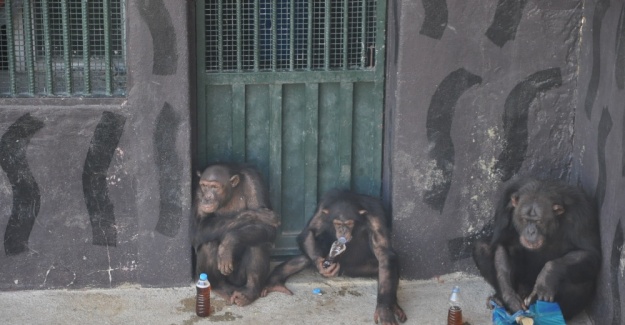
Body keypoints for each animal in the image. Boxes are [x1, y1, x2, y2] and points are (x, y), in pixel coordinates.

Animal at [190, 163, 278, 306]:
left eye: (214, 187)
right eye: (204, 186)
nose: (207, 197)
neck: (229, 194)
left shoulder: (254, 181)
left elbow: (268, 228)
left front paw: (228, 243)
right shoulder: (198, 192)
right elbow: (198, 227)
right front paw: (258, 215)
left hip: (239, 279)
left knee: (259, 238)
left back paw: (249, 291)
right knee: (209, 242)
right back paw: (221, 287)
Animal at [258, 190, 404, 324]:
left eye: (349, 223)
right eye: (338, 224)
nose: (343, 231)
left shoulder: (375, 218)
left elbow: (383, 253)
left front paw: (384, 311)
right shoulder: (322, 210)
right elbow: (309, 232)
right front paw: (321, 266)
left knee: (386, 266)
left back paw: (394, 306)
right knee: (306, 256)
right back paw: (273, 281)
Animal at [472, 176, 600, 318]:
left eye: (538, 221)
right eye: (525, 219)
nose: (531, 231)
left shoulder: (583, 213)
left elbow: (588, 253)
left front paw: (547, 276)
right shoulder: (505, 204)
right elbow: (502, 244)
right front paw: (510, 298)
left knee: (582, 281)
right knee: (481, 247)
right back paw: (499, 300)